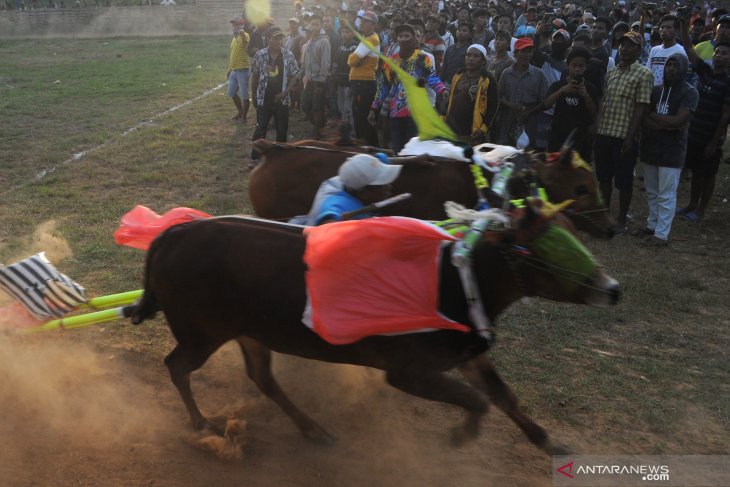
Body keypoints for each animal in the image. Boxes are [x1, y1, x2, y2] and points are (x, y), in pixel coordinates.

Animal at [129, 211, 616, 458]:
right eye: (549, 248)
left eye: (574, 235)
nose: (612, 288)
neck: (458, 277)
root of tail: (171, 235)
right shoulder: (408, 371)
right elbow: (477, 401)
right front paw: (460, 437)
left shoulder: (469, 353)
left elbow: (503, 396)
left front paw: (548, 440)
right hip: (201, 333)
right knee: (177, 366)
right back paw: (201, 424)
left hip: (250, 333)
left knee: (262, 378)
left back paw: (313, 429)